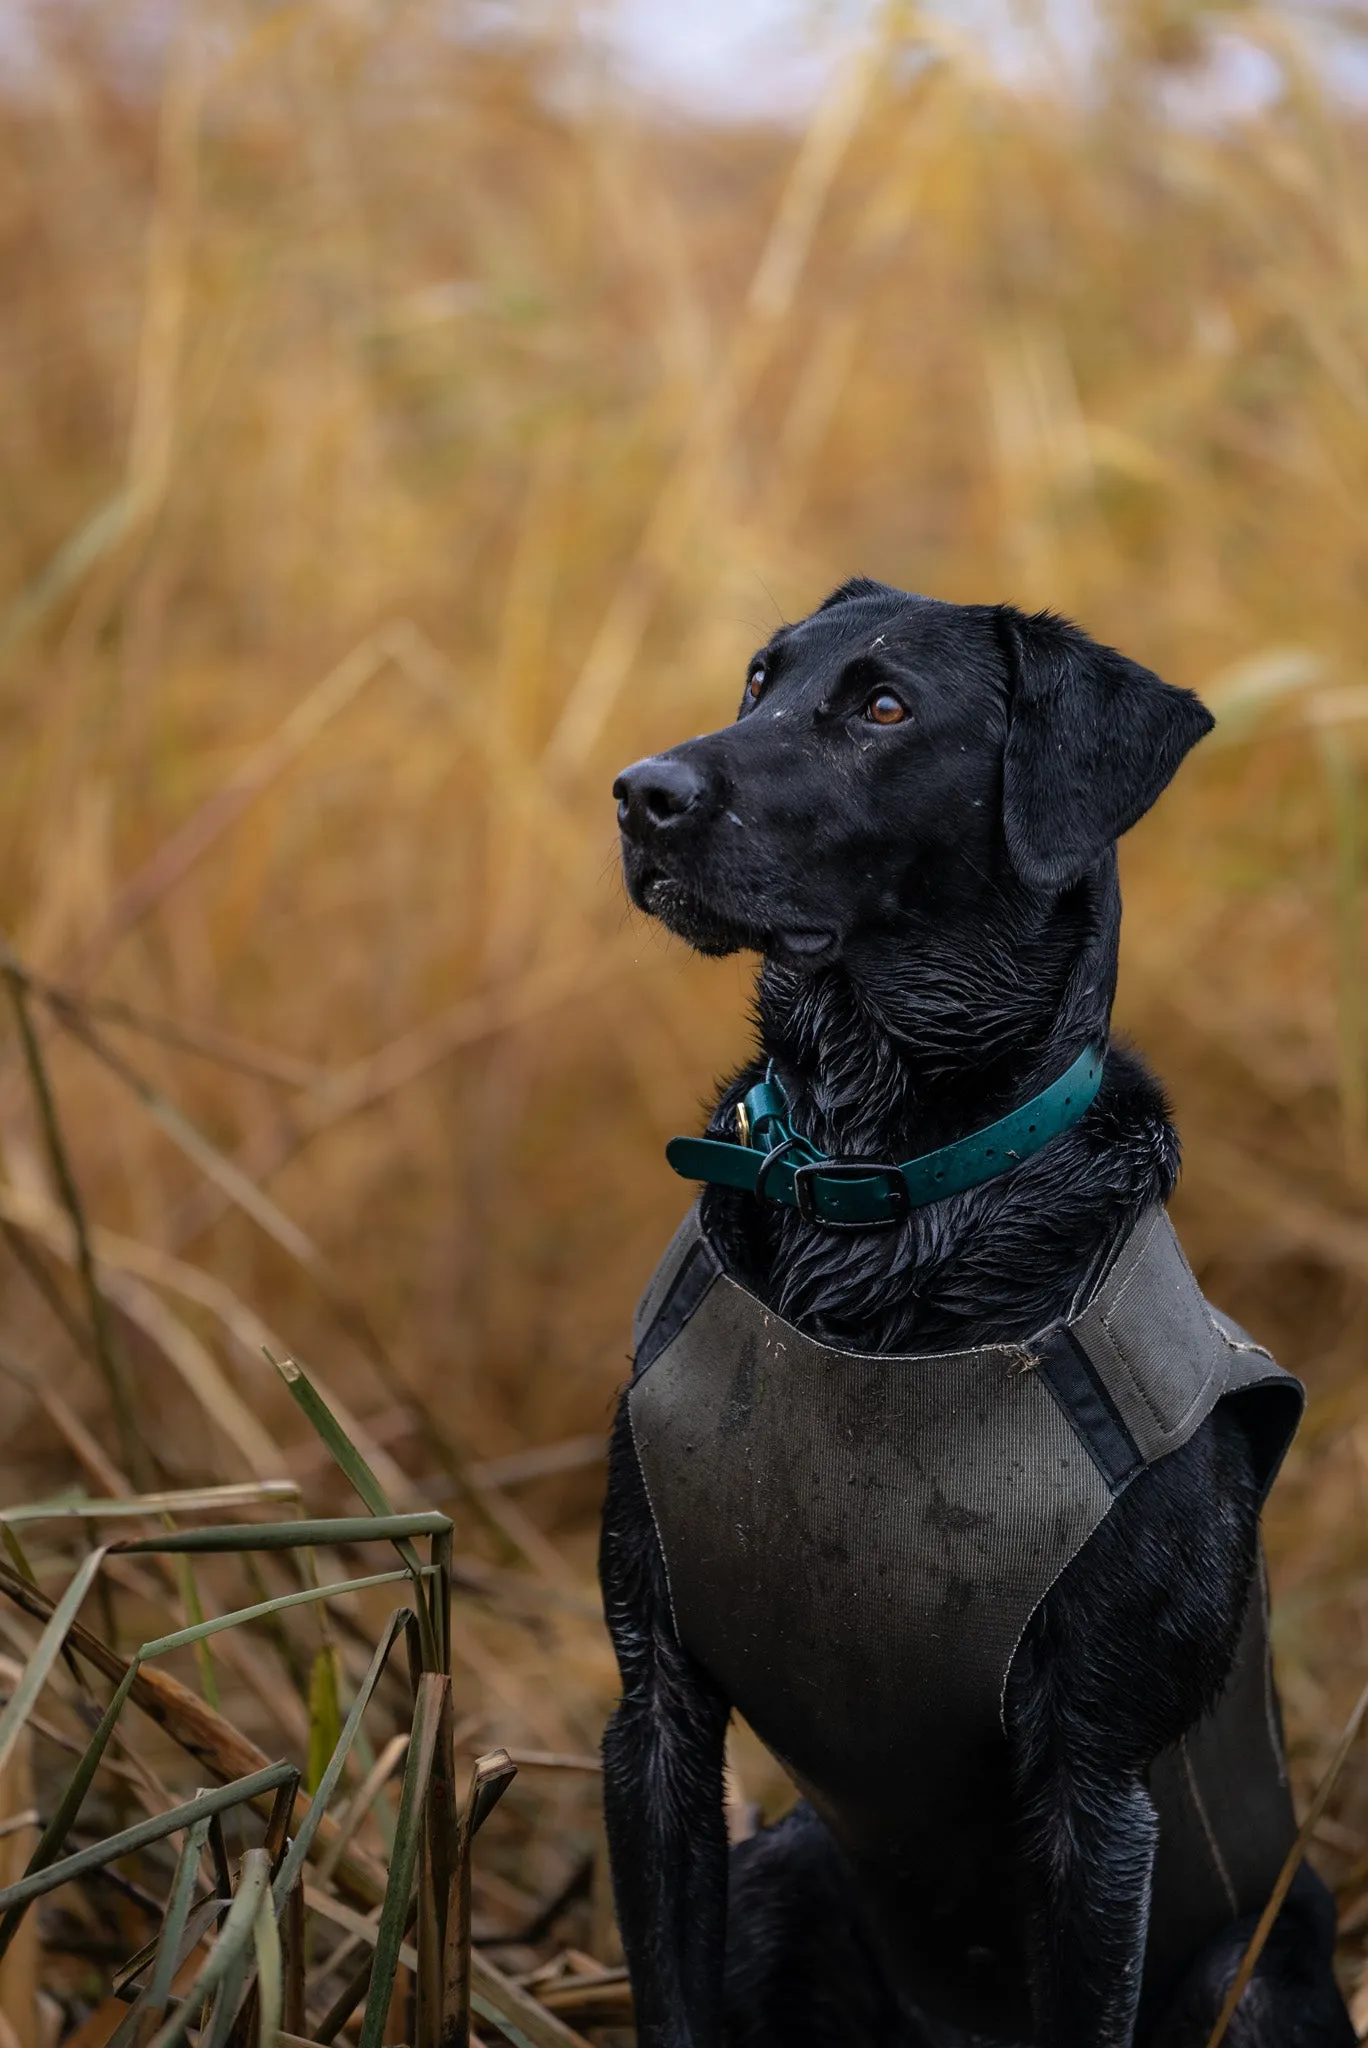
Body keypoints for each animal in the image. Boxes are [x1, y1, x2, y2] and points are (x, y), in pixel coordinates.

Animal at [602, 581, 1359, 2048]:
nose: (639, 792)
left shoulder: (1095, 1797)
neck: (870, 1185)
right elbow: (670, 1993)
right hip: (782, 1871)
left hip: (1249, 1982)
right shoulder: (650, 1708)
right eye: (760, 678)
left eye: (886, 707)